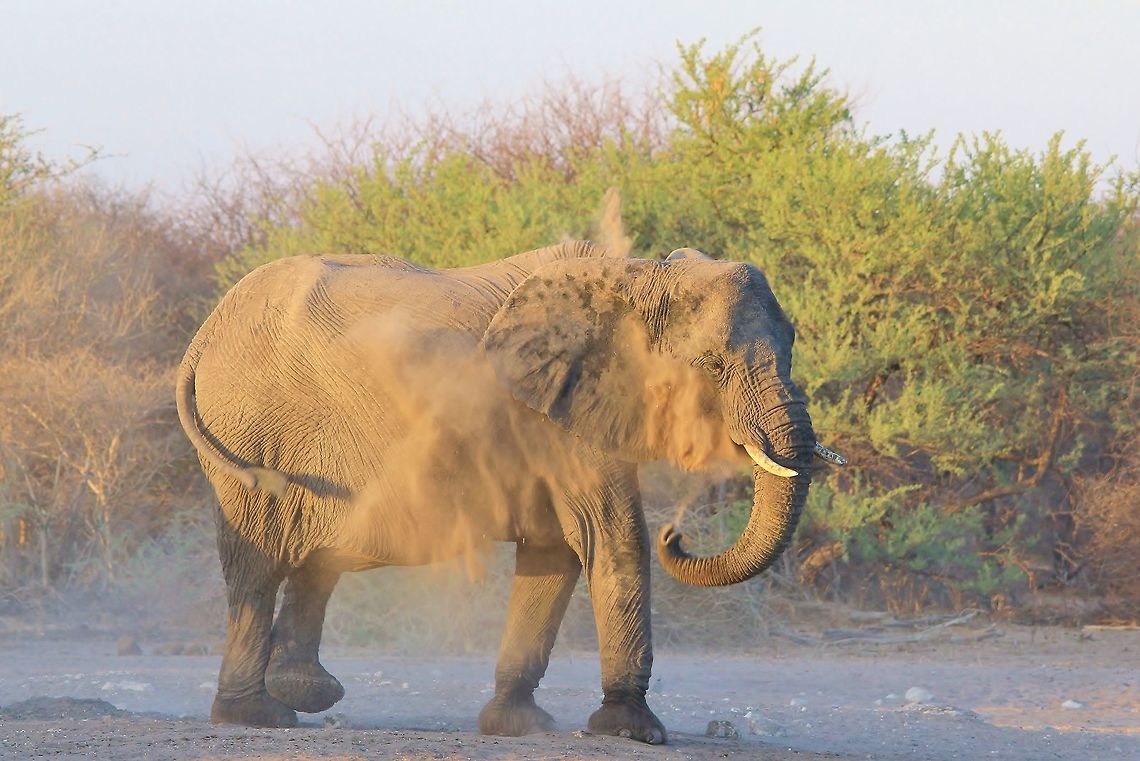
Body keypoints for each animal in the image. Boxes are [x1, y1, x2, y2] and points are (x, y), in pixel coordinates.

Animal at [175, 239, 844, 744]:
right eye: (711, 365)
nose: (677, 533)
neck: (639, 277)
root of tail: (205, 334)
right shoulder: (562, 415)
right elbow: (610, 536)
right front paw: (633, 731)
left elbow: (555, 552)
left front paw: (519, 725)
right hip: (251, 431)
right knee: (259, 568)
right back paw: (258, 714)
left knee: (320, 558)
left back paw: (304, 693)